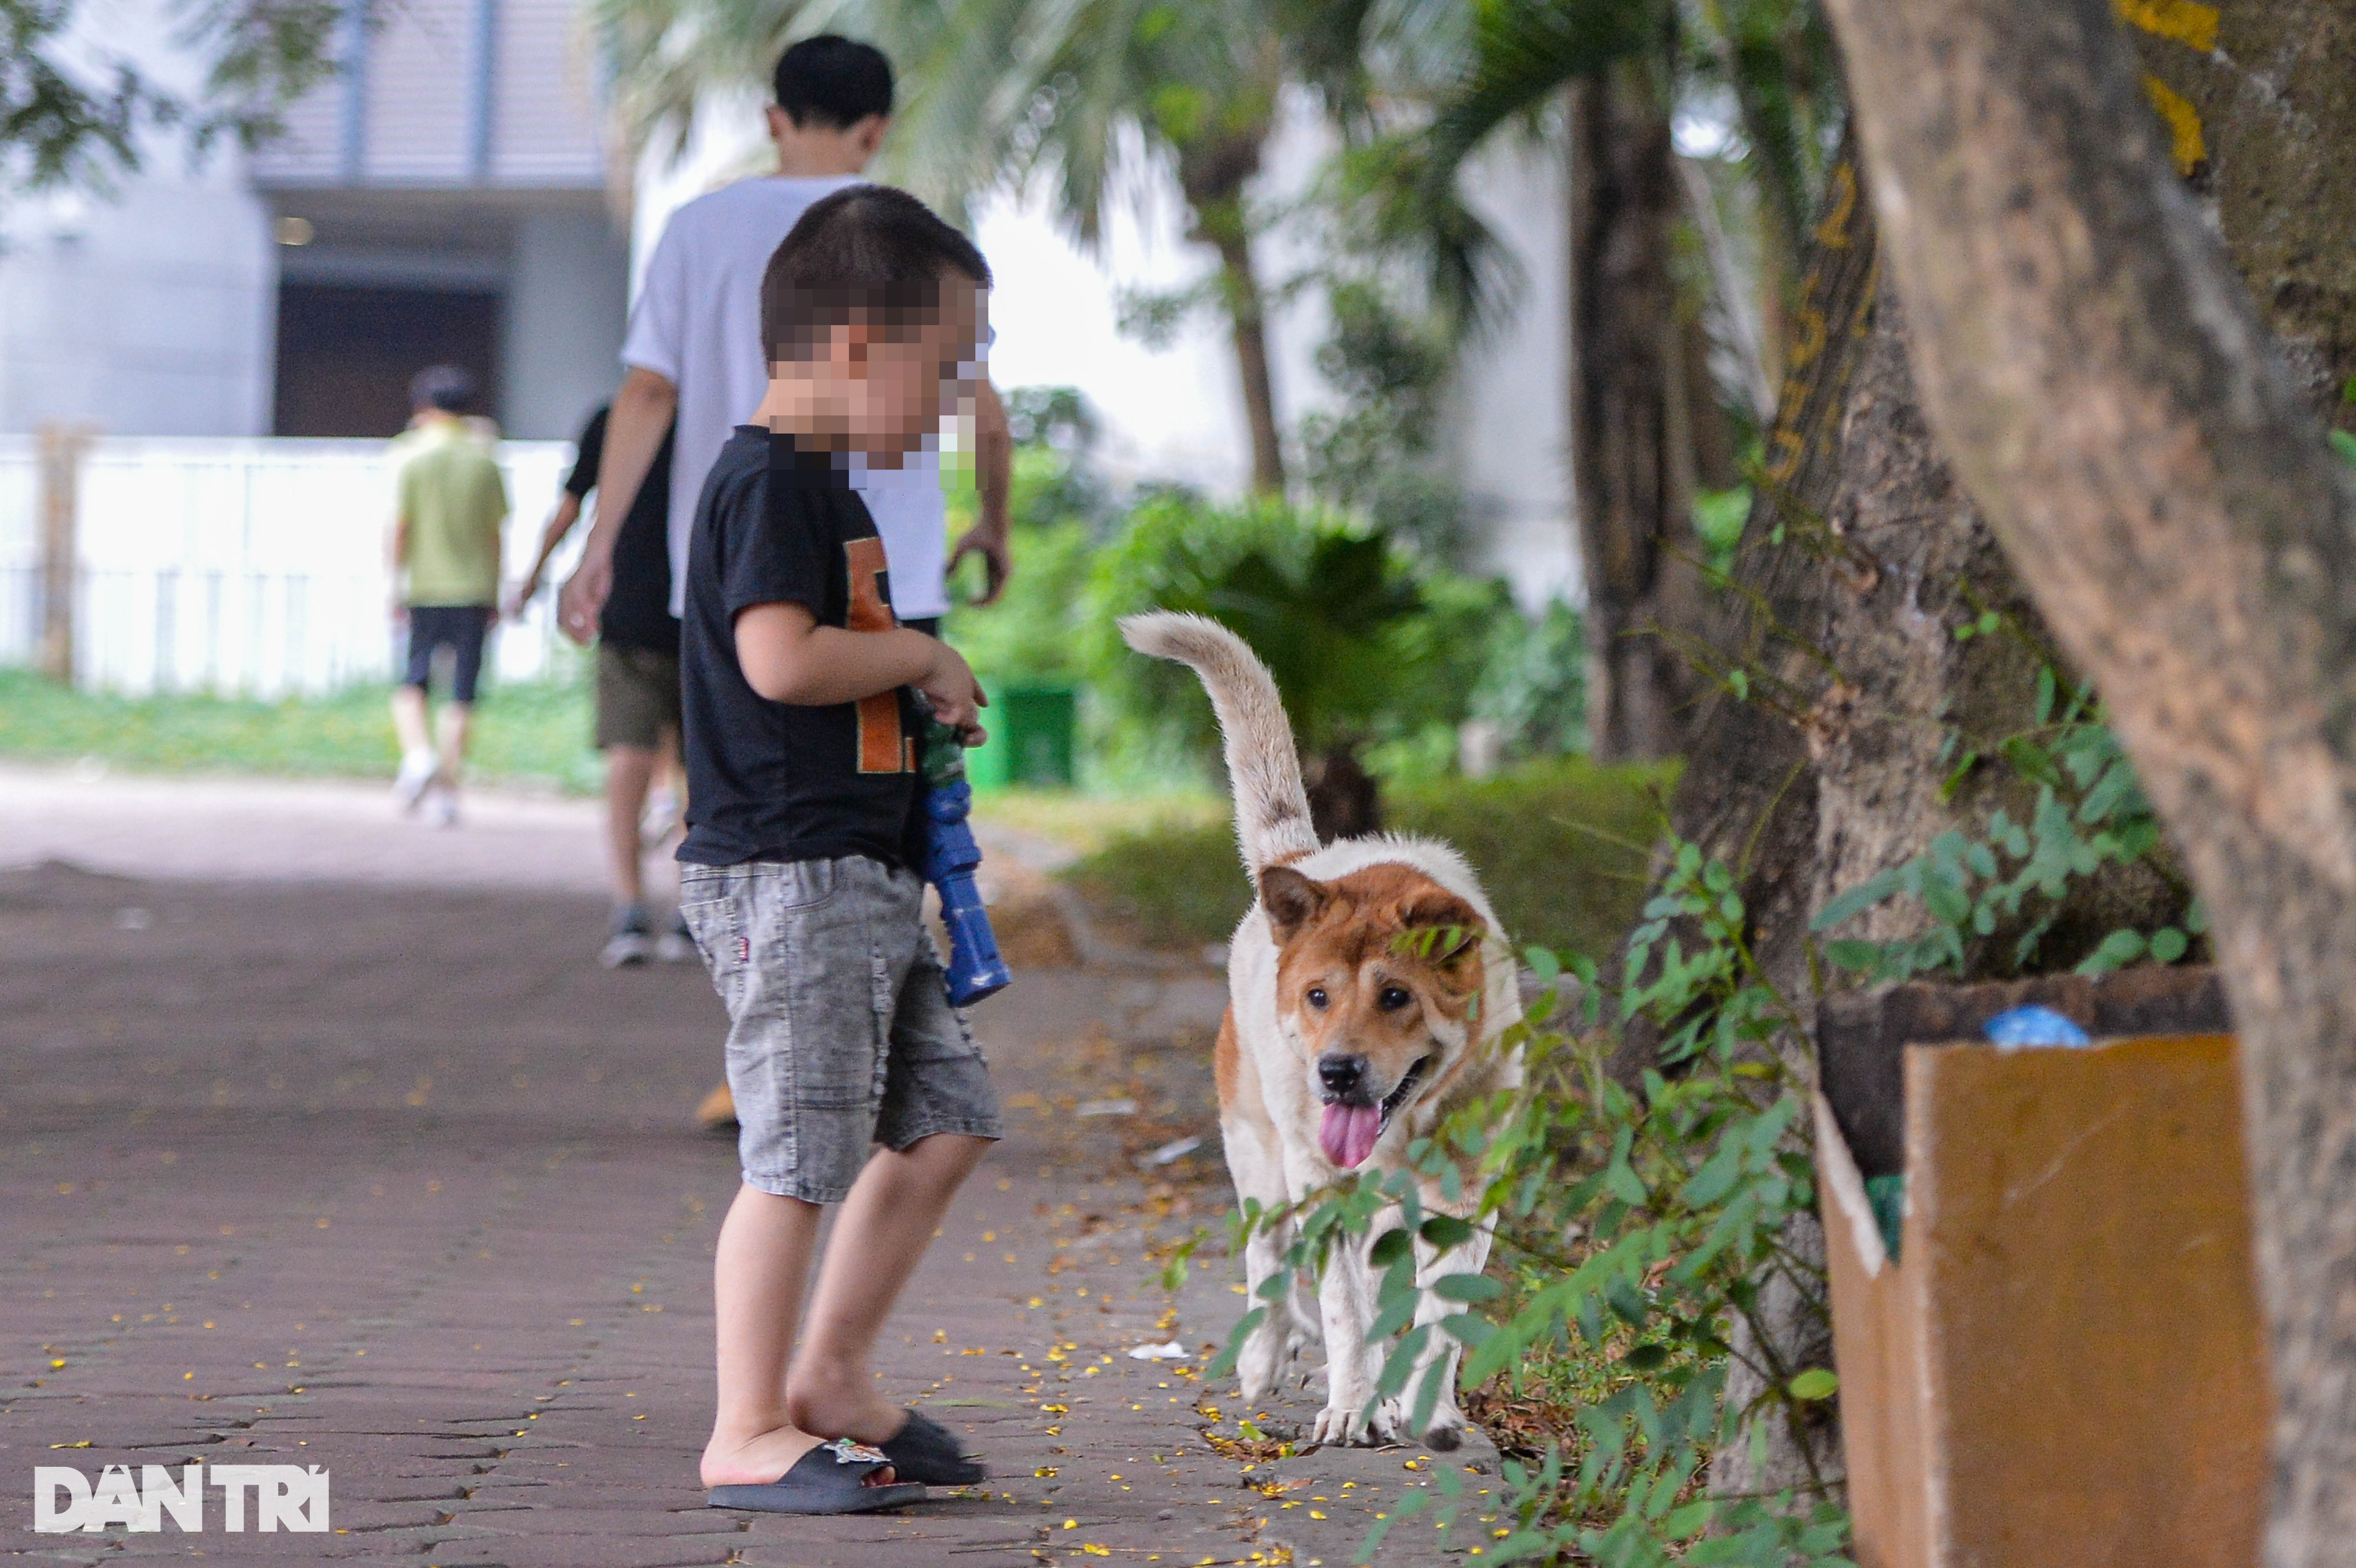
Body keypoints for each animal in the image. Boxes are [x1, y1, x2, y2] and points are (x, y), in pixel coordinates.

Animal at [1121, 612, 1527, 1441]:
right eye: (1317, 995)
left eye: (1396, 995)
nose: (1335, 1072)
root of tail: (1306, 858)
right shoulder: (1320, 1181)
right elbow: (1342, 1306)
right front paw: (1350, 1409)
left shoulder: (1468, 1192)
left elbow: (1438, 1309)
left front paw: (1430, 1410)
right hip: (1259, 1151)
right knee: (1270, 1260)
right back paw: (1265, 1361)